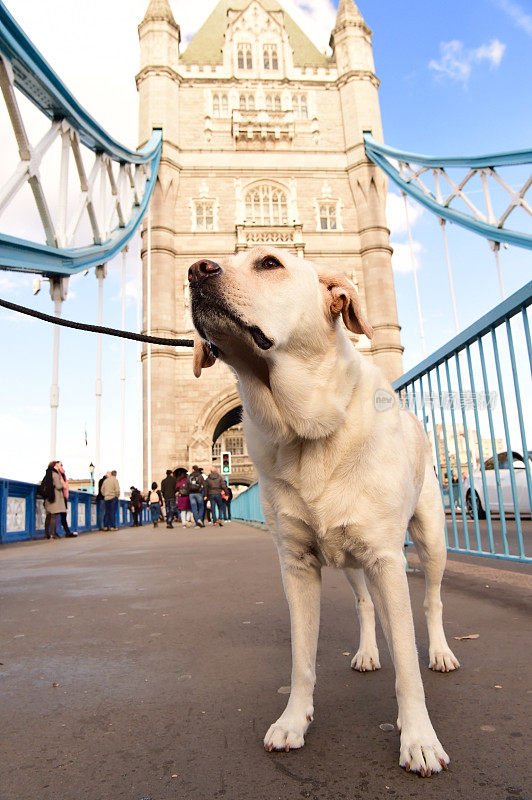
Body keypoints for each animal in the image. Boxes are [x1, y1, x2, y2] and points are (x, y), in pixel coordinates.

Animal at [189, 248, 460, 776]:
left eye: (269, 262)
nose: (195, 270)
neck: (304, 432)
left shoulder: (387, 560)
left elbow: (407, 662)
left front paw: (418, 738)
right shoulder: (297, 566)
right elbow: (302, 658)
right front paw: (295, 720)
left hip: (430, 541)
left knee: (432, 603)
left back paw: (440, 652)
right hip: (350, 562)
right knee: (365, 605)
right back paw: (369, 651)